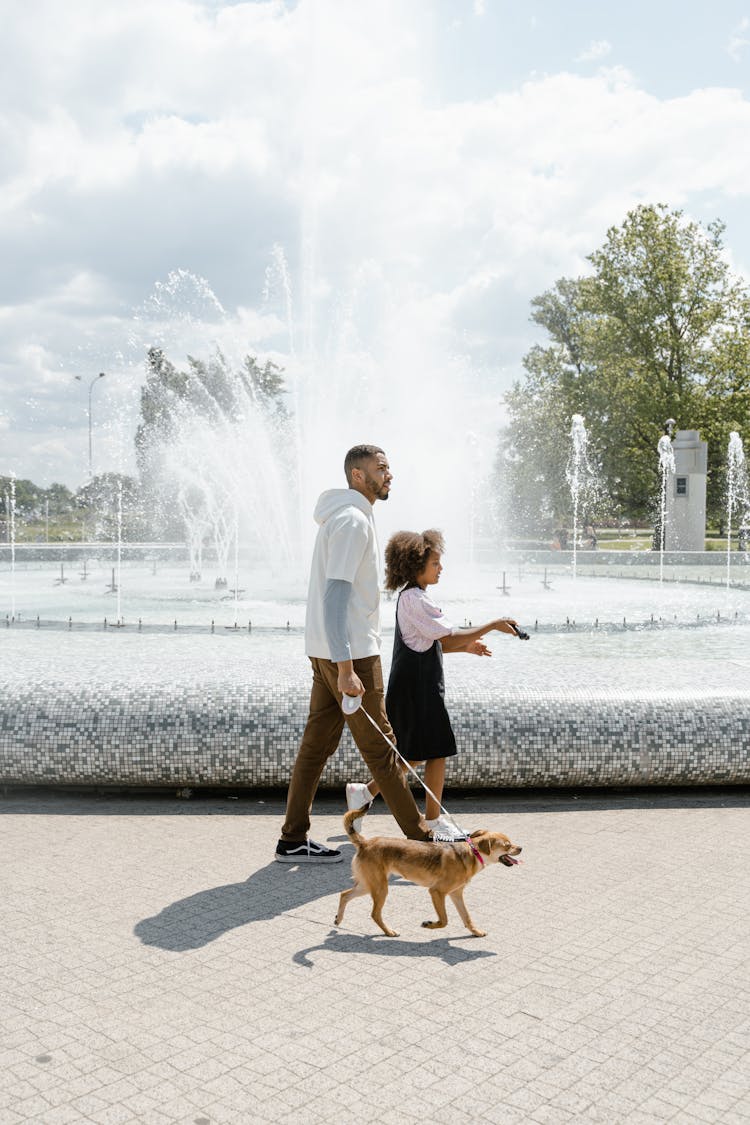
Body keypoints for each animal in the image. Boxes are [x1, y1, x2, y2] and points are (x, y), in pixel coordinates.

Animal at [335, 805, 521, 936]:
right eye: (507, 845)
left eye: (510, 842)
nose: (521, 848)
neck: (471, 853)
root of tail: (365, 843)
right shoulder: (437, 892)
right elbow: (444, 920)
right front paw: (430, 925)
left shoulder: (456, 894)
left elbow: (466, 917)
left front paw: (476, 932)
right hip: (380, 888)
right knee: (374, 914)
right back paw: (389, 932)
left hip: (368, 885)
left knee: (344, 894)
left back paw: (338, 919)